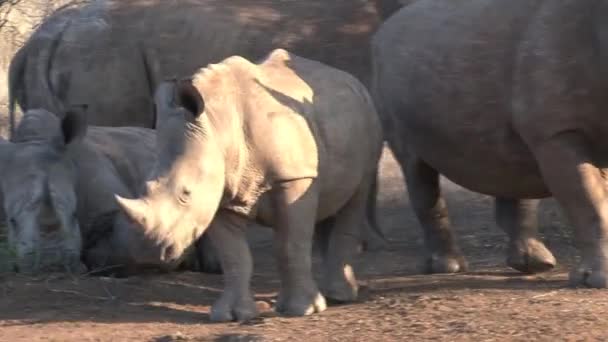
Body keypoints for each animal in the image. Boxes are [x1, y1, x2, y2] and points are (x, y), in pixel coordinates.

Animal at [111, 48, 382, 320]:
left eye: (185, 193)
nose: (156, 254)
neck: (218, 126)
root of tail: (350, 78)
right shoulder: (221, 192)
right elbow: (235, 257)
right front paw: (231, 315)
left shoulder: (293, 177)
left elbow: (290, 246)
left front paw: (302, 310)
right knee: (328, 203)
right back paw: (326, 294)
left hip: (367, 118)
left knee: (355, 197)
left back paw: (339, 296)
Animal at [370, 0, 608, 288]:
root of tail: (382, 29)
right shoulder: (557, 131)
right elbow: (589, 200)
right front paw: (597, 281)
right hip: (386, 82)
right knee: (416, 169)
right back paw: (447, 268)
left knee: (511, 162)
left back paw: (535, 263)